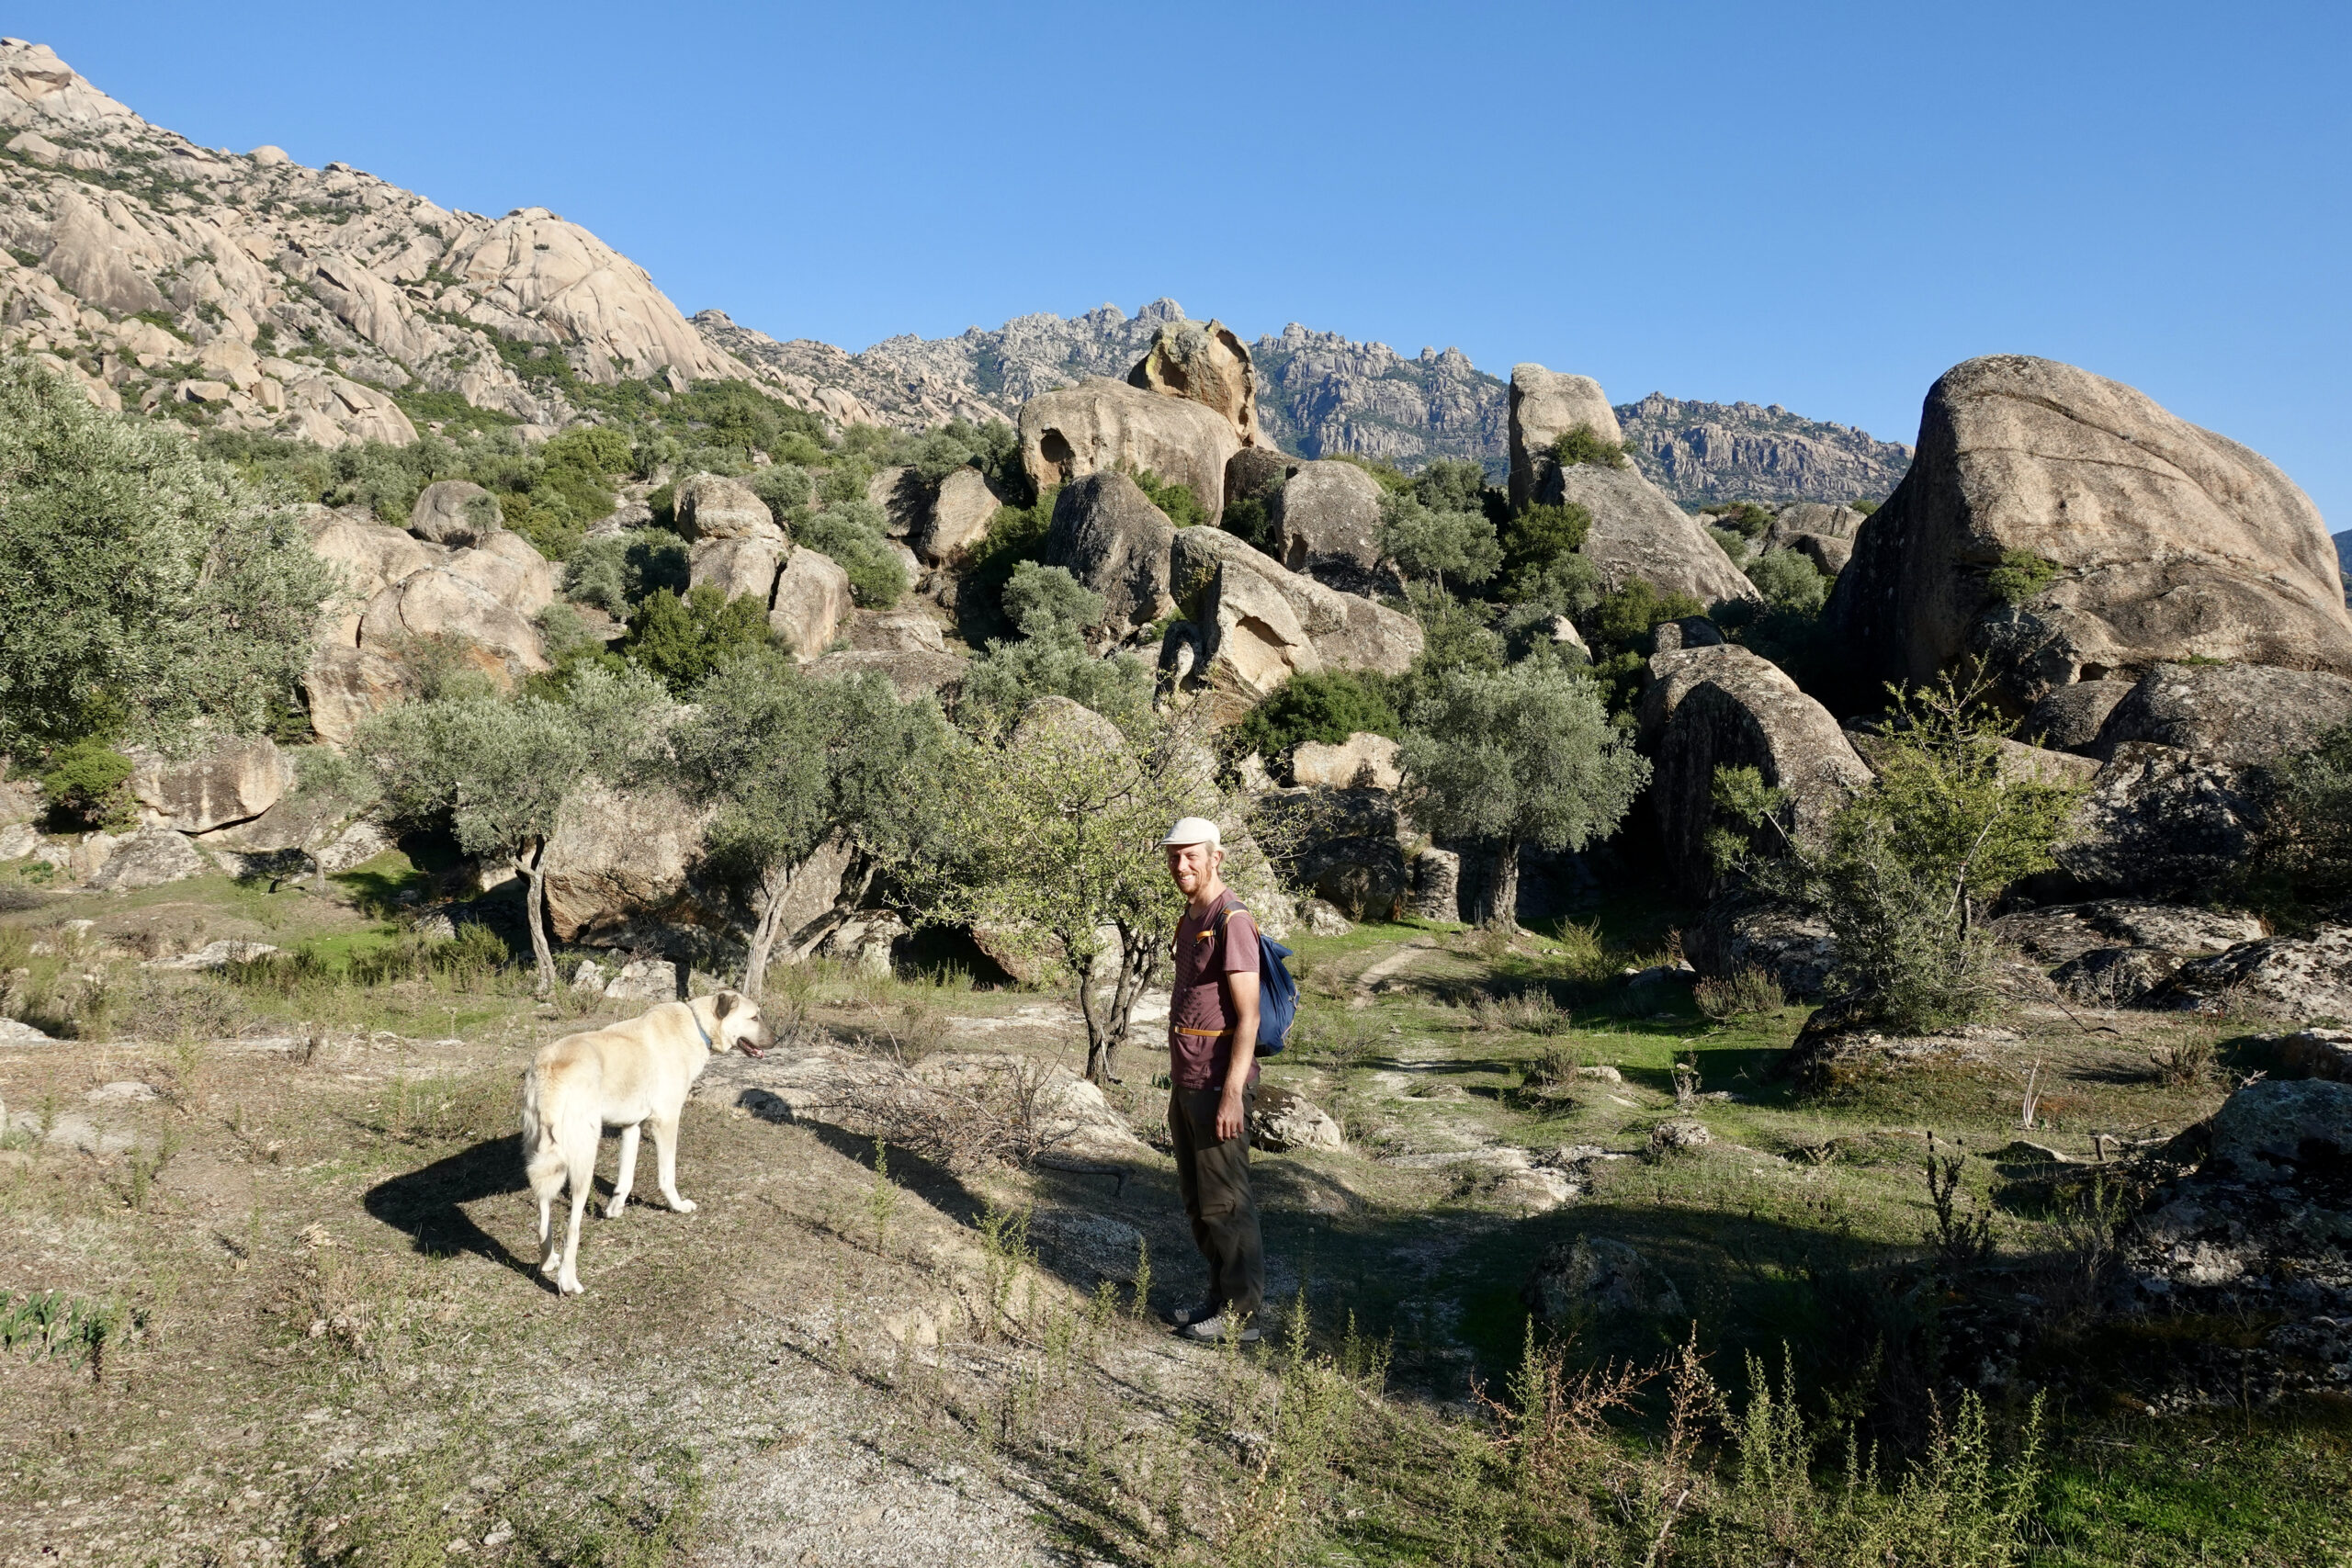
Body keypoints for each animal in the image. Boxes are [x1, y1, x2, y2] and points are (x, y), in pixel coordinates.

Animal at [519, 991, 766, 1297]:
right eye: (754, 1017)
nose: (776, 1040)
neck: (696, 1024)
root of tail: (550, 1069)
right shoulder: (666, 1121)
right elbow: (667, 1176)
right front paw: (677, 1206)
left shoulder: (632, 1127)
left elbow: (626, 1177)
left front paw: (615, 1209)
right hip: (583, 1162)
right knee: (572, 1229)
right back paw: (568, 1281)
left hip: (540, 1160)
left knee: (543, 1221)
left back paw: (547, 1260)